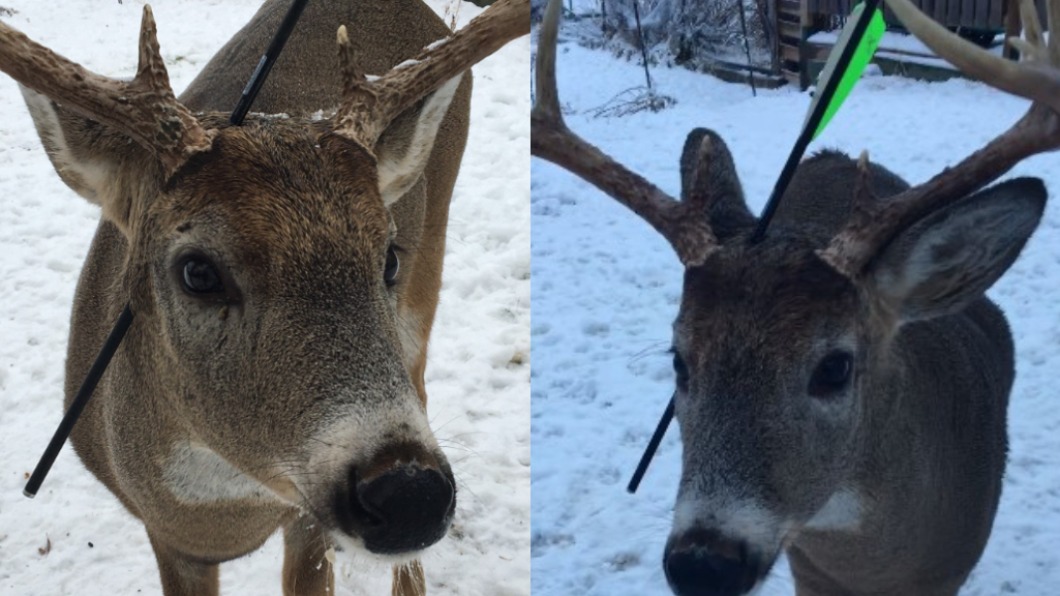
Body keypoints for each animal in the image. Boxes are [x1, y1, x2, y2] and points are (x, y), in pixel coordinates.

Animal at [0, 0, 527, 594]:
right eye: (197, 272)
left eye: (388, 257)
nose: (409, 494)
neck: (230, 514)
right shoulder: (170, 538)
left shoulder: (306, 521)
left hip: (429, 264)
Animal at [533, 0, 1057, 593]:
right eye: (679, 361)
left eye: (835, 367)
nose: (703, 563)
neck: (873, 568)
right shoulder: (807, 568)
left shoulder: (948, 571)